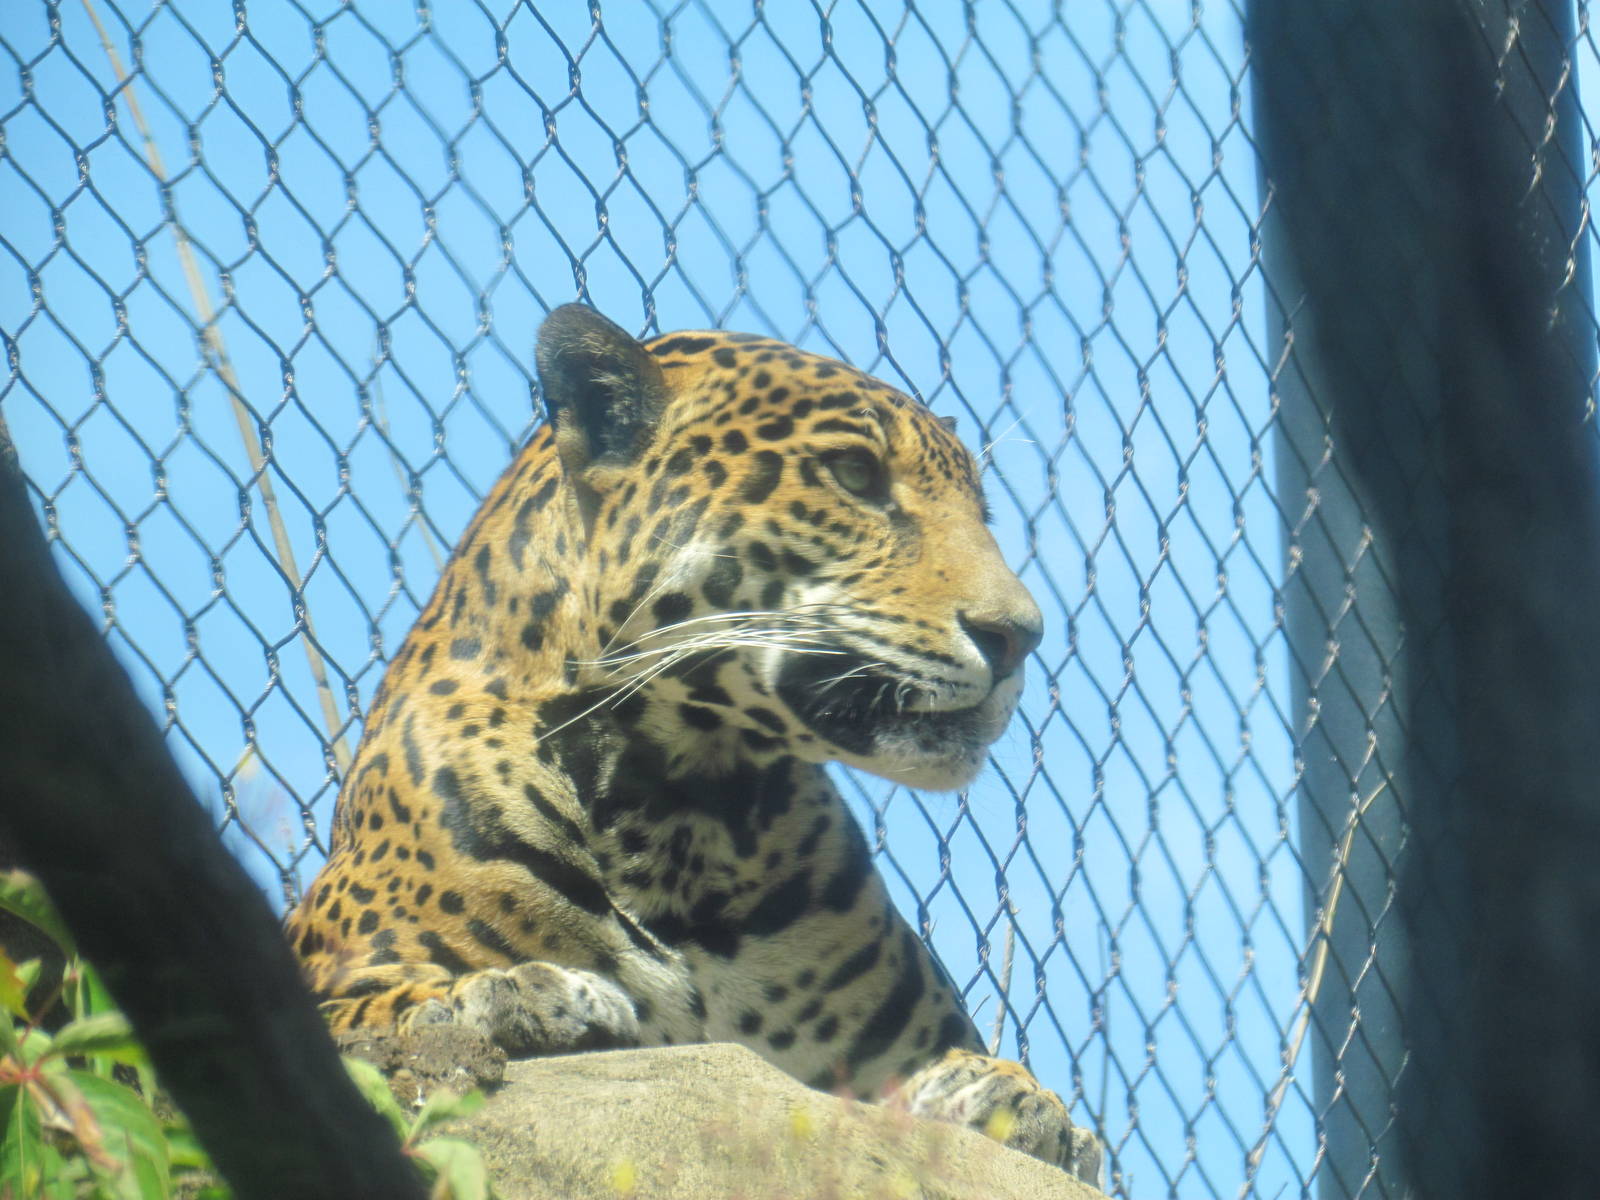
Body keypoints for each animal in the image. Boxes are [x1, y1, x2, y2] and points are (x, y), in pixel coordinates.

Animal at [284, 304, 1100, 1183]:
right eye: (854, 474)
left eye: (983, 515)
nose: (1020, 636)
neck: (685, 813)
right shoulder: (326, 980)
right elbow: (386, 1009)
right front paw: (521, 995)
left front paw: (1014, 1098)